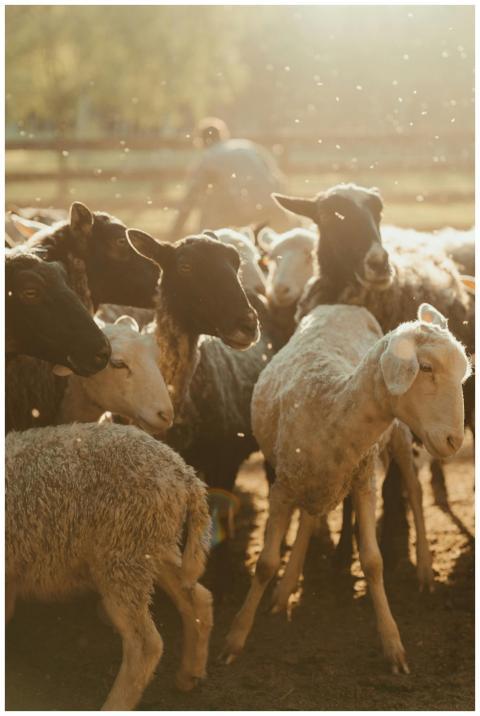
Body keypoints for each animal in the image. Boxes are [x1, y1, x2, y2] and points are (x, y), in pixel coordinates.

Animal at [6, 421, 213, 710]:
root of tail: (185, 475)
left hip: (120, 555)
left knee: (145, 644)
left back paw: (114, 704)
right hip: (151, 546)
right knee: (197, 598)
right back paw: (188, 675)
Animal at [223, 302, 470, 672]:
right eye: (425, 367)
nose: (454, 441)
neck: (332, 409)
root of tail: (344, 305)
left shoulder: (365, 483)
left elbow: (373, 562)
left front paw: (392, 644)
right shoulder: (282, 487)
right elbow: (265, 563)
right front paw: (236, 637)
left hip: (399, 436)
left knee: (414, 491)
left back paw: (426, 569)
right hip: (316, 478)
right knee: (310, 518)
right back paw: (285, 589)